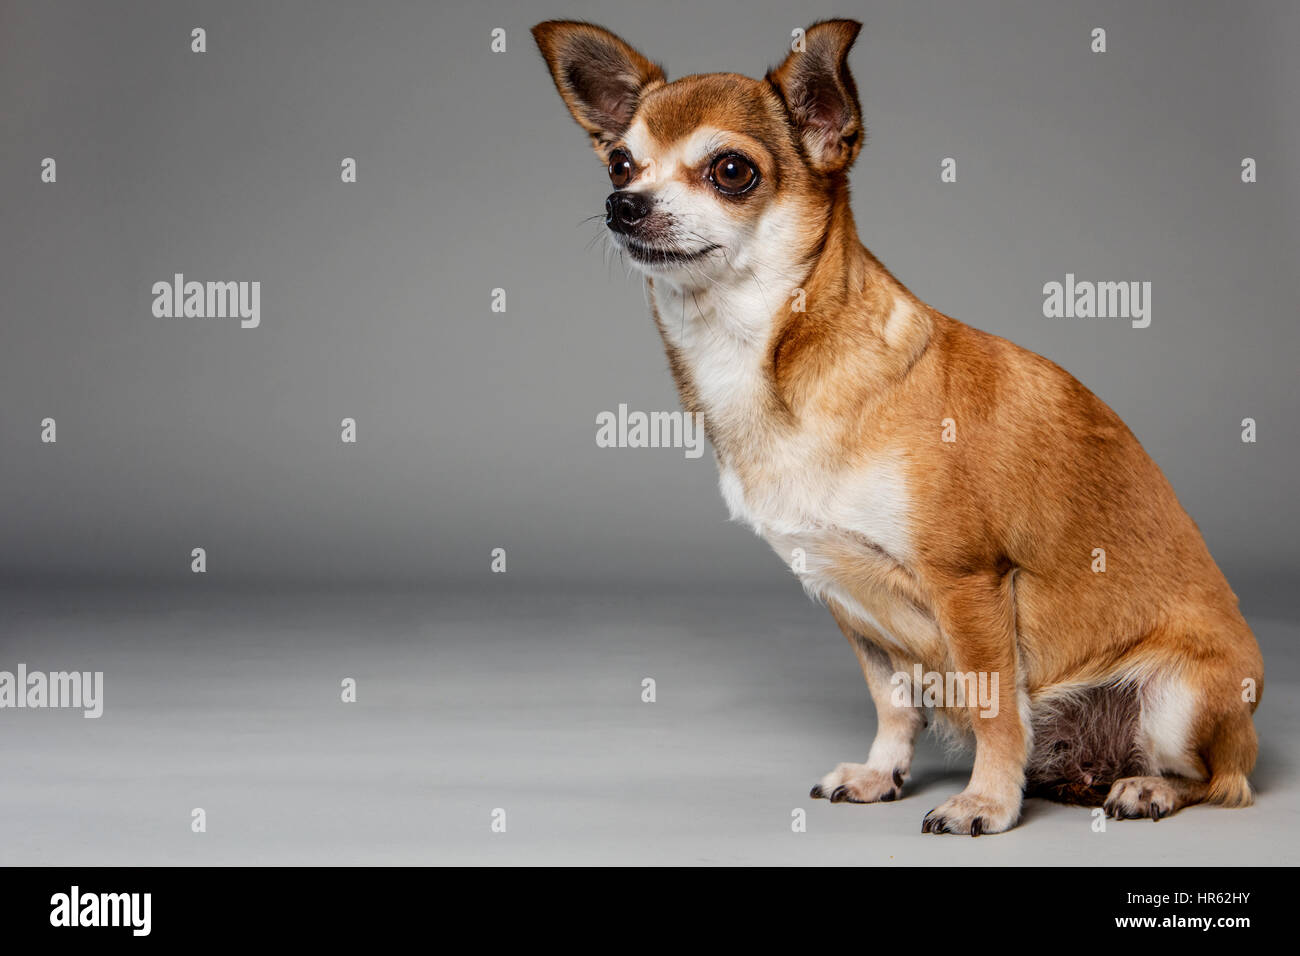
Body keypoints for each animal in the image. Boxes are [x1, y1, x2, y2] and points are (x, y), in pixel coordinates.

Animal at [527, 18, 1258, 832]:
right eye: (620, 163)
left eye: (731, 171)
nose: (623, 204)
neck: (763, 357)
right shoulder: (850, 600)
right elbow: (893, 702)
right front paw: (883, 774)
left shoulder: (967, 584)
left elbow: (997, 708)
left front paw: (986, 801)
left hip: (1180, 699)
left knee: (1222, 781)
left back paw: (1148, 788)